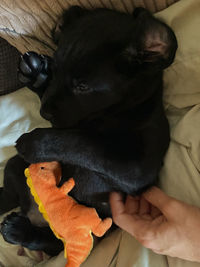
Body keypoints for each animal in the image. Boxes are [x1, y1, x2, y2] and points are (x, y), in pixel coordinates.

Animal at [0, 6, 177, 258]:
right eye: (55, 70)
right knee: (9, 195)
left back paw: (19, 230)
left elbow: (86, 143)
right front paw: (37, 75)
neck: (120, 110)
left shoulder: (137, 167)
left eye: (82, 86)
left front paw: (36, 143)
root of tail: (34, 212)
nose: (43, 112)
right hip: (15, 167)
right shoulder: (65, 119)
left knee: (55, 243)